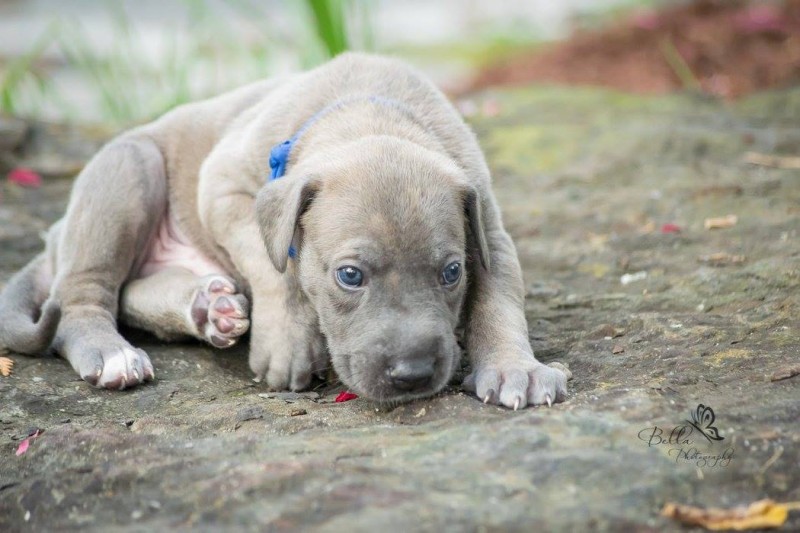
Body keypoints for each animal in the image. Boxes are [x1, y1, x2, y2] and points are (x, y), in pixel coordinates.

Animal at [0, 53, 569, 408]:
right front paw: (289, 344)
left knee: (133, 294)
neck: (366, 111)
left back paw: (209, 307)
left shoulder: (488, 231)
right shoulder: (224, 188)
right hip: (127, 171)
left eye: (451, 273)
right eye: (349, 276)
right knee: (85, 295)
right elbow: (273, 265)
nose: (412, 375)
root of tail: (55, 236)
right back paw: (112, 353)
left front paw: (515, 367)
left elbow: (498, 300)